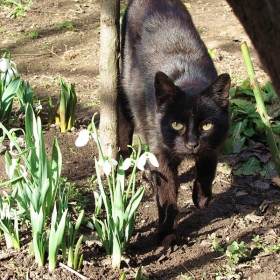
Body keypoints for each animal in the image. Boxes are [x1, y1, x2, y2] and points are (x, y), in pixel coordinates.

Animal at [118, 0, 230, 245]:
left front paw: (202, 199)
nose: (192, 144)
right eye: (176, 124)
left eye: (206, 125)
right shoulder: (160, 155)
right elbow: (167, 194)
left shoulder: (215, 144)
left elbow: (208, 169)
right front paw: (167, 234)